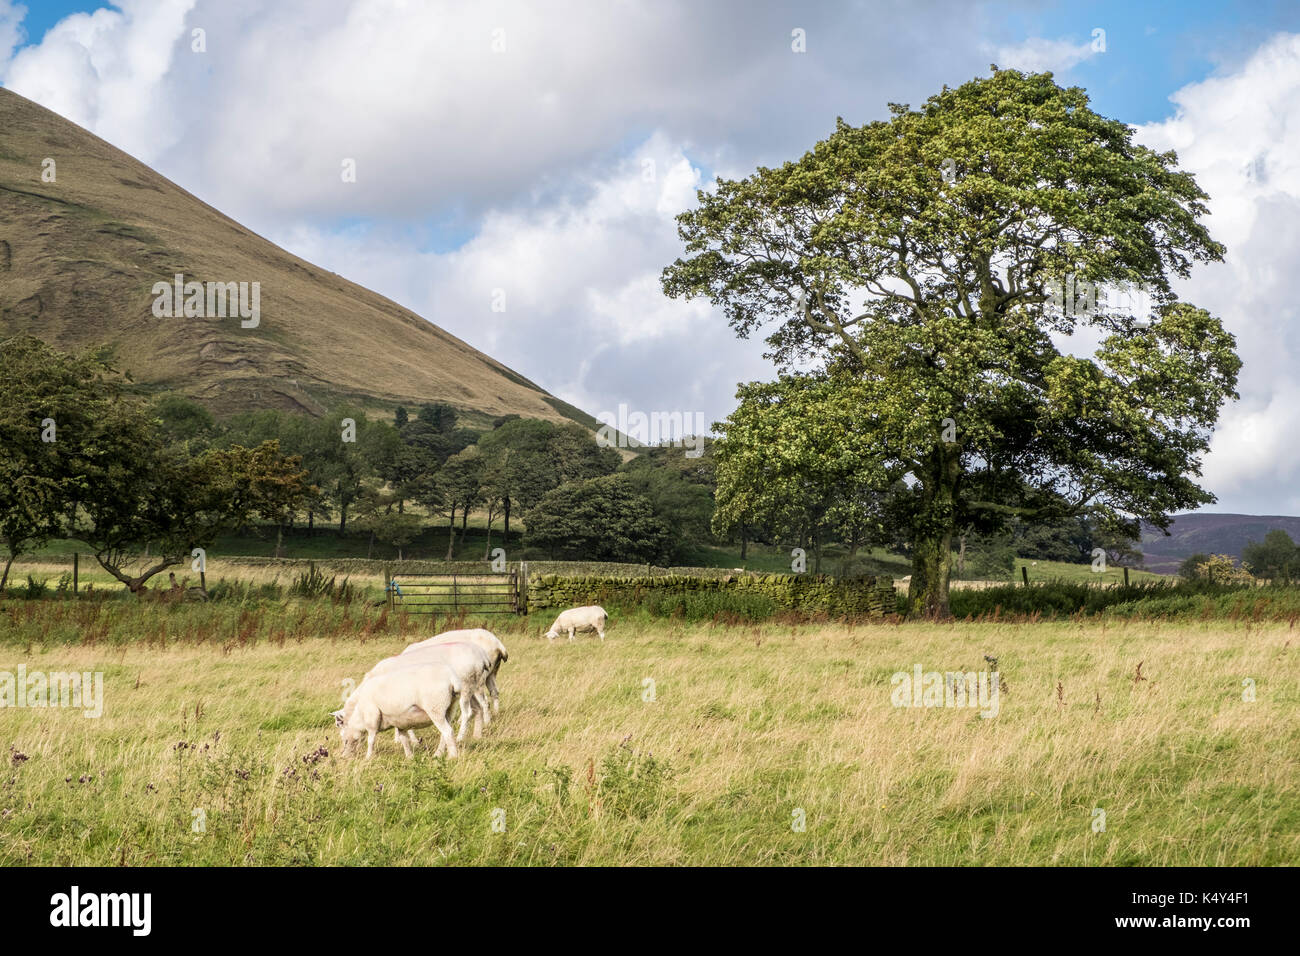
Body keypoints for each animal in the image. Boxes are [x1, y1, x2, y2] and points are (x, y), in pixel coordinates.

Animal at [330, 660, 462, 759]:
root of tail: (451, 678)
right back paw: (438, 754)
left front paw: (368, 757)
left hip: (435, 709)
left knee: (447, 731)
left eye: (345, 740)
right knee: (445, 733)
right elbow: (404, 740)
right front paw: (409, 757)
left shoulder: (372, 719)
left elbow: (370, 740)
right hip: (450, 709)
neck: (360, 716)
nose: (344, 756)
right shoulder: (401, 723)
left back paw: (452, 756)